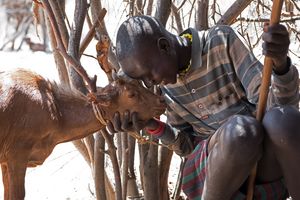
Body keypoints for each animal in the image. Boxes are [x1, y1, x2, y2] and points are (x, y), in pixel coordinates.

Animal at [0, 68, 166, 199]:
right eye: (131, 94)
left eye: (140, 84)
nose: (162, 101)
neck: (56, 113)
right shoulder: (17, 155)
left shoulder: (5, 160)